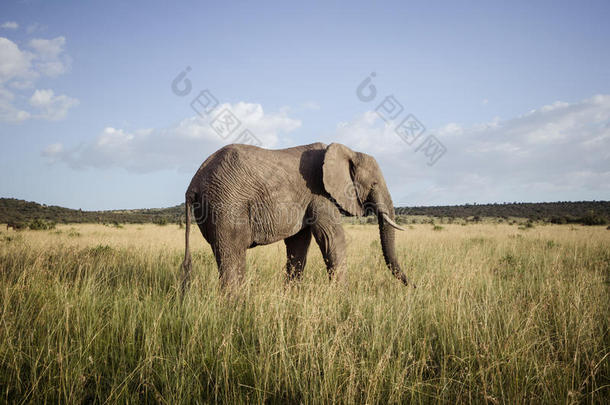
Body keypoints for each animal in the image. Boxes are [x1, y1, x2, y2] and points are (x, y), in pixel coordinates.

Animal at [178, 142, 410, 290]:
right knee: (233, 256)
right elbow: (332, 238)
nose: (413, 286)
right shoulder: (320, 193)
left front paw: (291, 297)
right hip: (227, 205)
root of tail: (193, 183)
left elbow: (298, 244)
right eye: (374, 184)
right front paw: (343, 299)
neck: (347, 151)